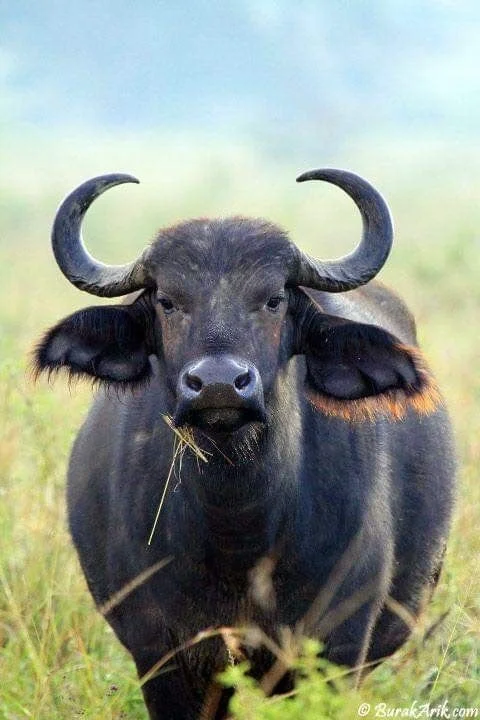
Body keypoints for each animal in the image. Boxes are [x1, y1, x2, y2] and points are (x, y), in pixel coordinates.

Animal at [35, 169, 455, 719]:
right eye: (168, 301)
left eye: (274, 299)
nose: (218, 385)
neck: (238, 532)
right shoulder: (160, 655)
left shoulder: (337, 652)